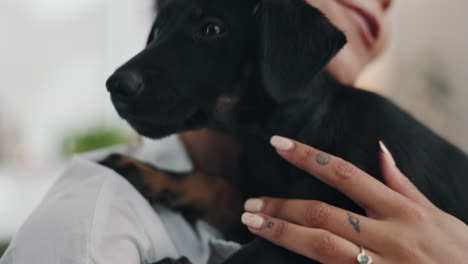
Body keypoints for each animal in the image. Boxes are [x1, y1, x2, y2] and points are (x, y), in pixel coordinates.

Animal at [103, 0, 468, 262]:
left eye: (211, 29)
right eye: (156, 32)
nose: (114, 86)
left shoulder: (331, 229)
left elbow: (245, 256)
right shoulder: (262, 211)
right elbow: (222, 188)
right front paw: (144, 172)